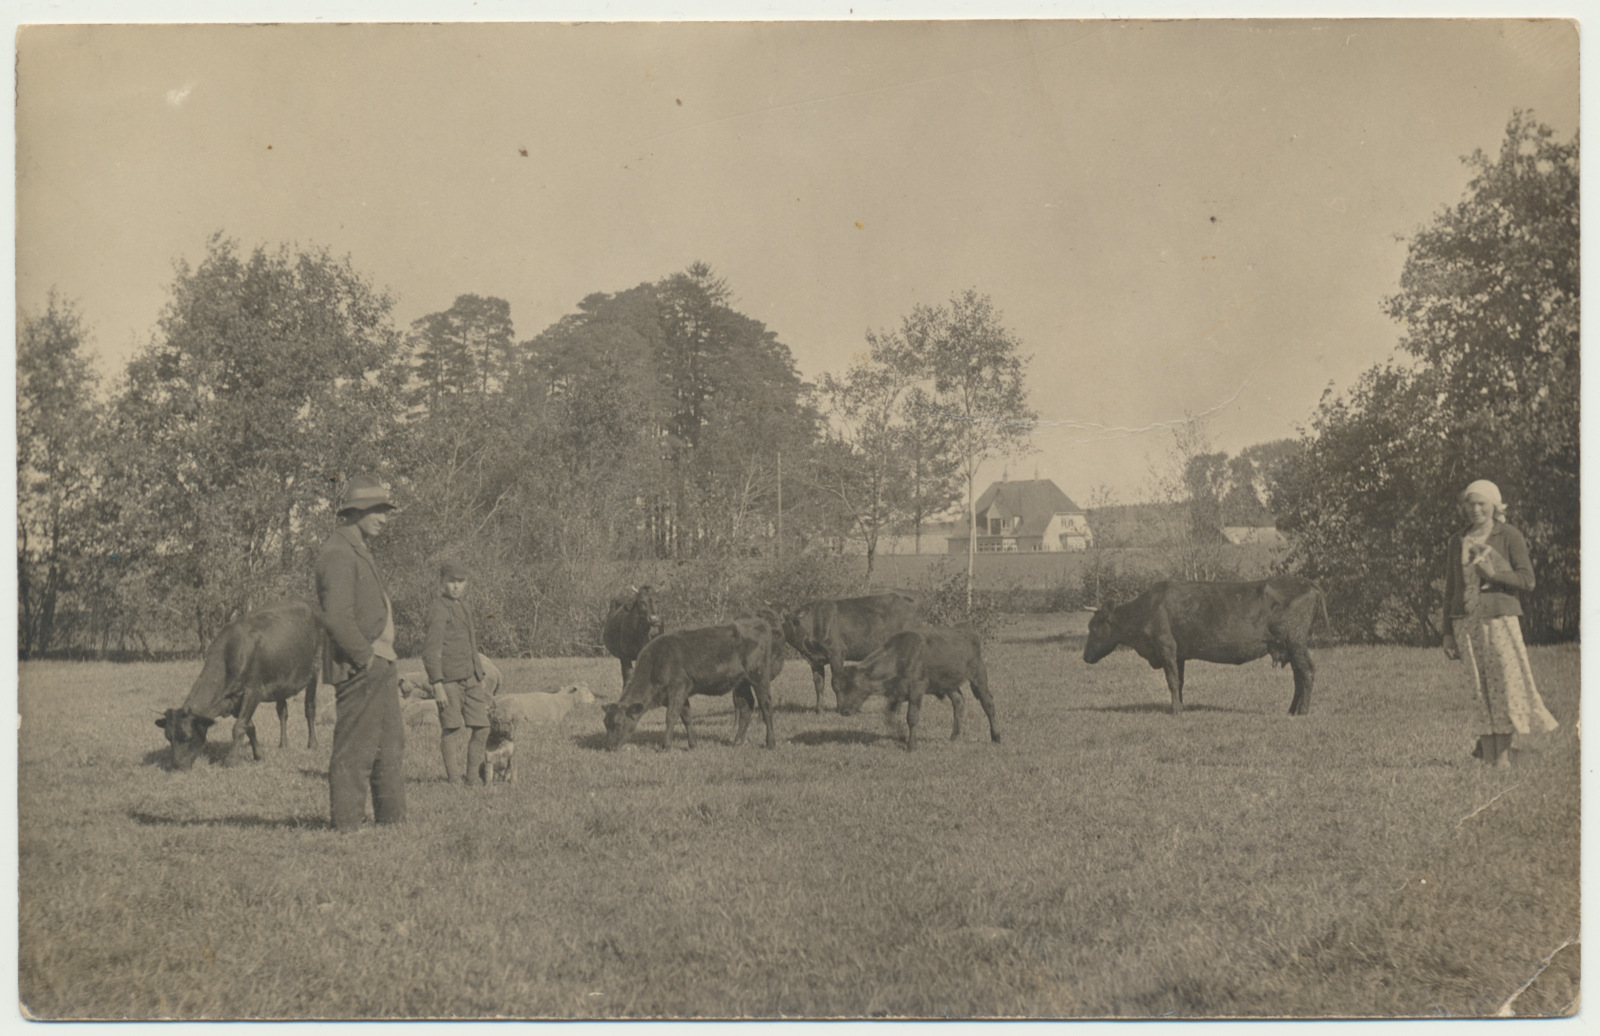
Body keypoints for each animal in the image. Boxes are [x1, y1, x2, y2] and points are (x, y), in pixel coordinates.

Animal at [154, 597, 323, 767]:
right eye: (168, 737)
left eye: (188, 735)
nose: (176, 765)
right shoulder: (233, 699)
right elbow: (249, 726)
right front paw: (258, 754)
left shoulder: (253, 692)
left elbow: (239, 727)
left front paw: (231, 760)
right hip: (281, 681)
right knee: (282, 712)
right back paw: (283, 744)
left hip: (314, 670)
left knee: (310, 708)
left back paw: (313, 744)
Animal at [601, 610, 784, 748]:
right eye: (605, 723)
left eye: (618, 723)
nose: (609, 747)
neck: (656, 661)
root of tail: (760, 623)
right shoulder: (680, 693)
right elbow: (686, 717)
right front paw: (692, 744)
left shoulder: (678, 688)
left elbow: (671, 716)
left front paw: (665, 746)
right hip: (741, 682)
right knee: (746, 706)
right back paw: (737, 742)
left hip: (759, 676)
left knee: (766, 705)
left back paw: (770, 743)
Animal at [780, 591, 921, 713]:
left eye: (782, 621)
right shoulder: (814, 661)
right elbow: (819, 685)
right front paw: (819, 709)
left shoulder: (836, 652)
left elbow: (836, 682)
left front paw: (840, 709)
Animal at [838, 623, 998, 751]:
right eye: (839, 688)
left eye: (854, 686)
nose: (844, 710)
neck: (899, 657)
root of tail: (968, 631)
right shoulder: (896, 694)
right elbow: (890, 717)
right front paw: (902, 737)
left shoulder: (917, 690)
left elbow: (912, 717)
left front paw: (911, 746)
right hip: (949, 685)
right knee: (959, 702)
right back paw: (954, 737)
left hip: (978, 676)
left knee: (988, 703)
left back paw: (996, 737)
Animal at [1081, 578, 1331, 716]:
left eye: (1093, 628)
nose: (1084, 657)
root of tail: (1305, 581)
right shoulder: (1179, 654)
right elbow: (1180, 681)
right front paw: (1180, 706)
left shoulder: (1166, 648)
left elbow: (1172, 681)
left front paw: (1176, 711)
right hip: (1292, 646)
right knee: (1298, 676)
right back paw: (1291, 710)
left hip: (1296, 642)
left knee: (1307, 672)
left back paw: (1303, 711)